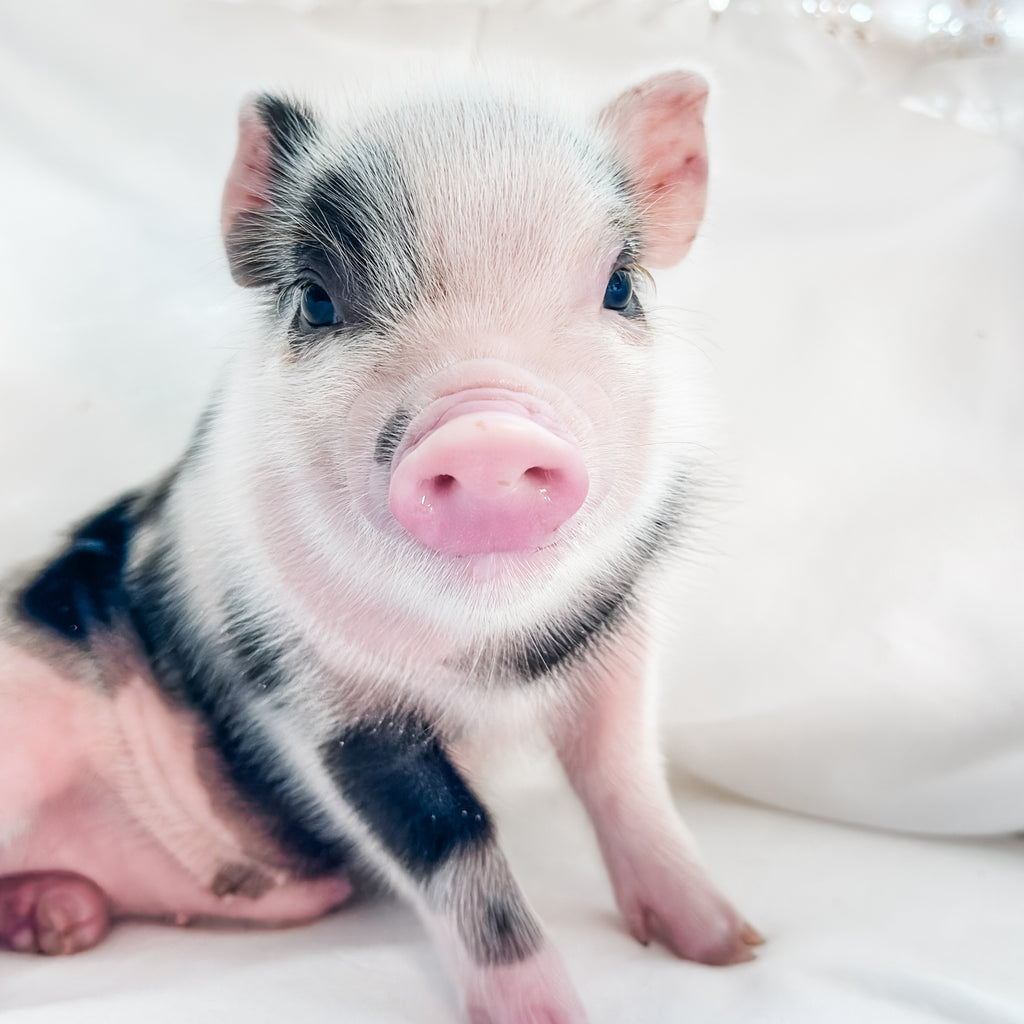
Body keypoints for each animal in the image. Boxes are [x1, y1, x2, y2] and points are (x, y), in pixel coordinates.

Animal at [0, 72, 760, 1022]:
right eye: (318, 300)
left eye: (621, 286)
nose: (485, 433)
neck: (485, 661)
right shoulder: (314, 697)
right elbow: (454, 847)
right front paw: (549, 1015)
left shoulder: (620, 636)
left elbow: (626, 778)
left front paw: (731, 948)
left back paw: (63, 923)